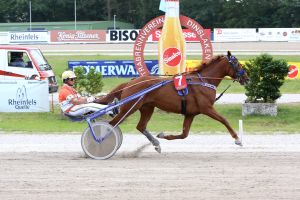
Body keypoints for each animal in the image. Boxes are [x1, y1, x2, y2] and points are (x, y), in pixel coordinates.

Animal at [96, 51, 248, 153]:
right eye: (237, 63)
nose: (246, 77)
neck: (204, 80)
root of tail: (130, 82)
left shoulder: (190, 113)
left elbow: (184, 134)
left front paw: (163, 135)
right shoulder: (207, 108)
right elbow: (224, 120)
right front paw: (238, 139)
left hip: (147, 107)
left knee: (140, 126)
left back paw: (156, 143)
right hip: (130, 107)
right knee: (112, 124)